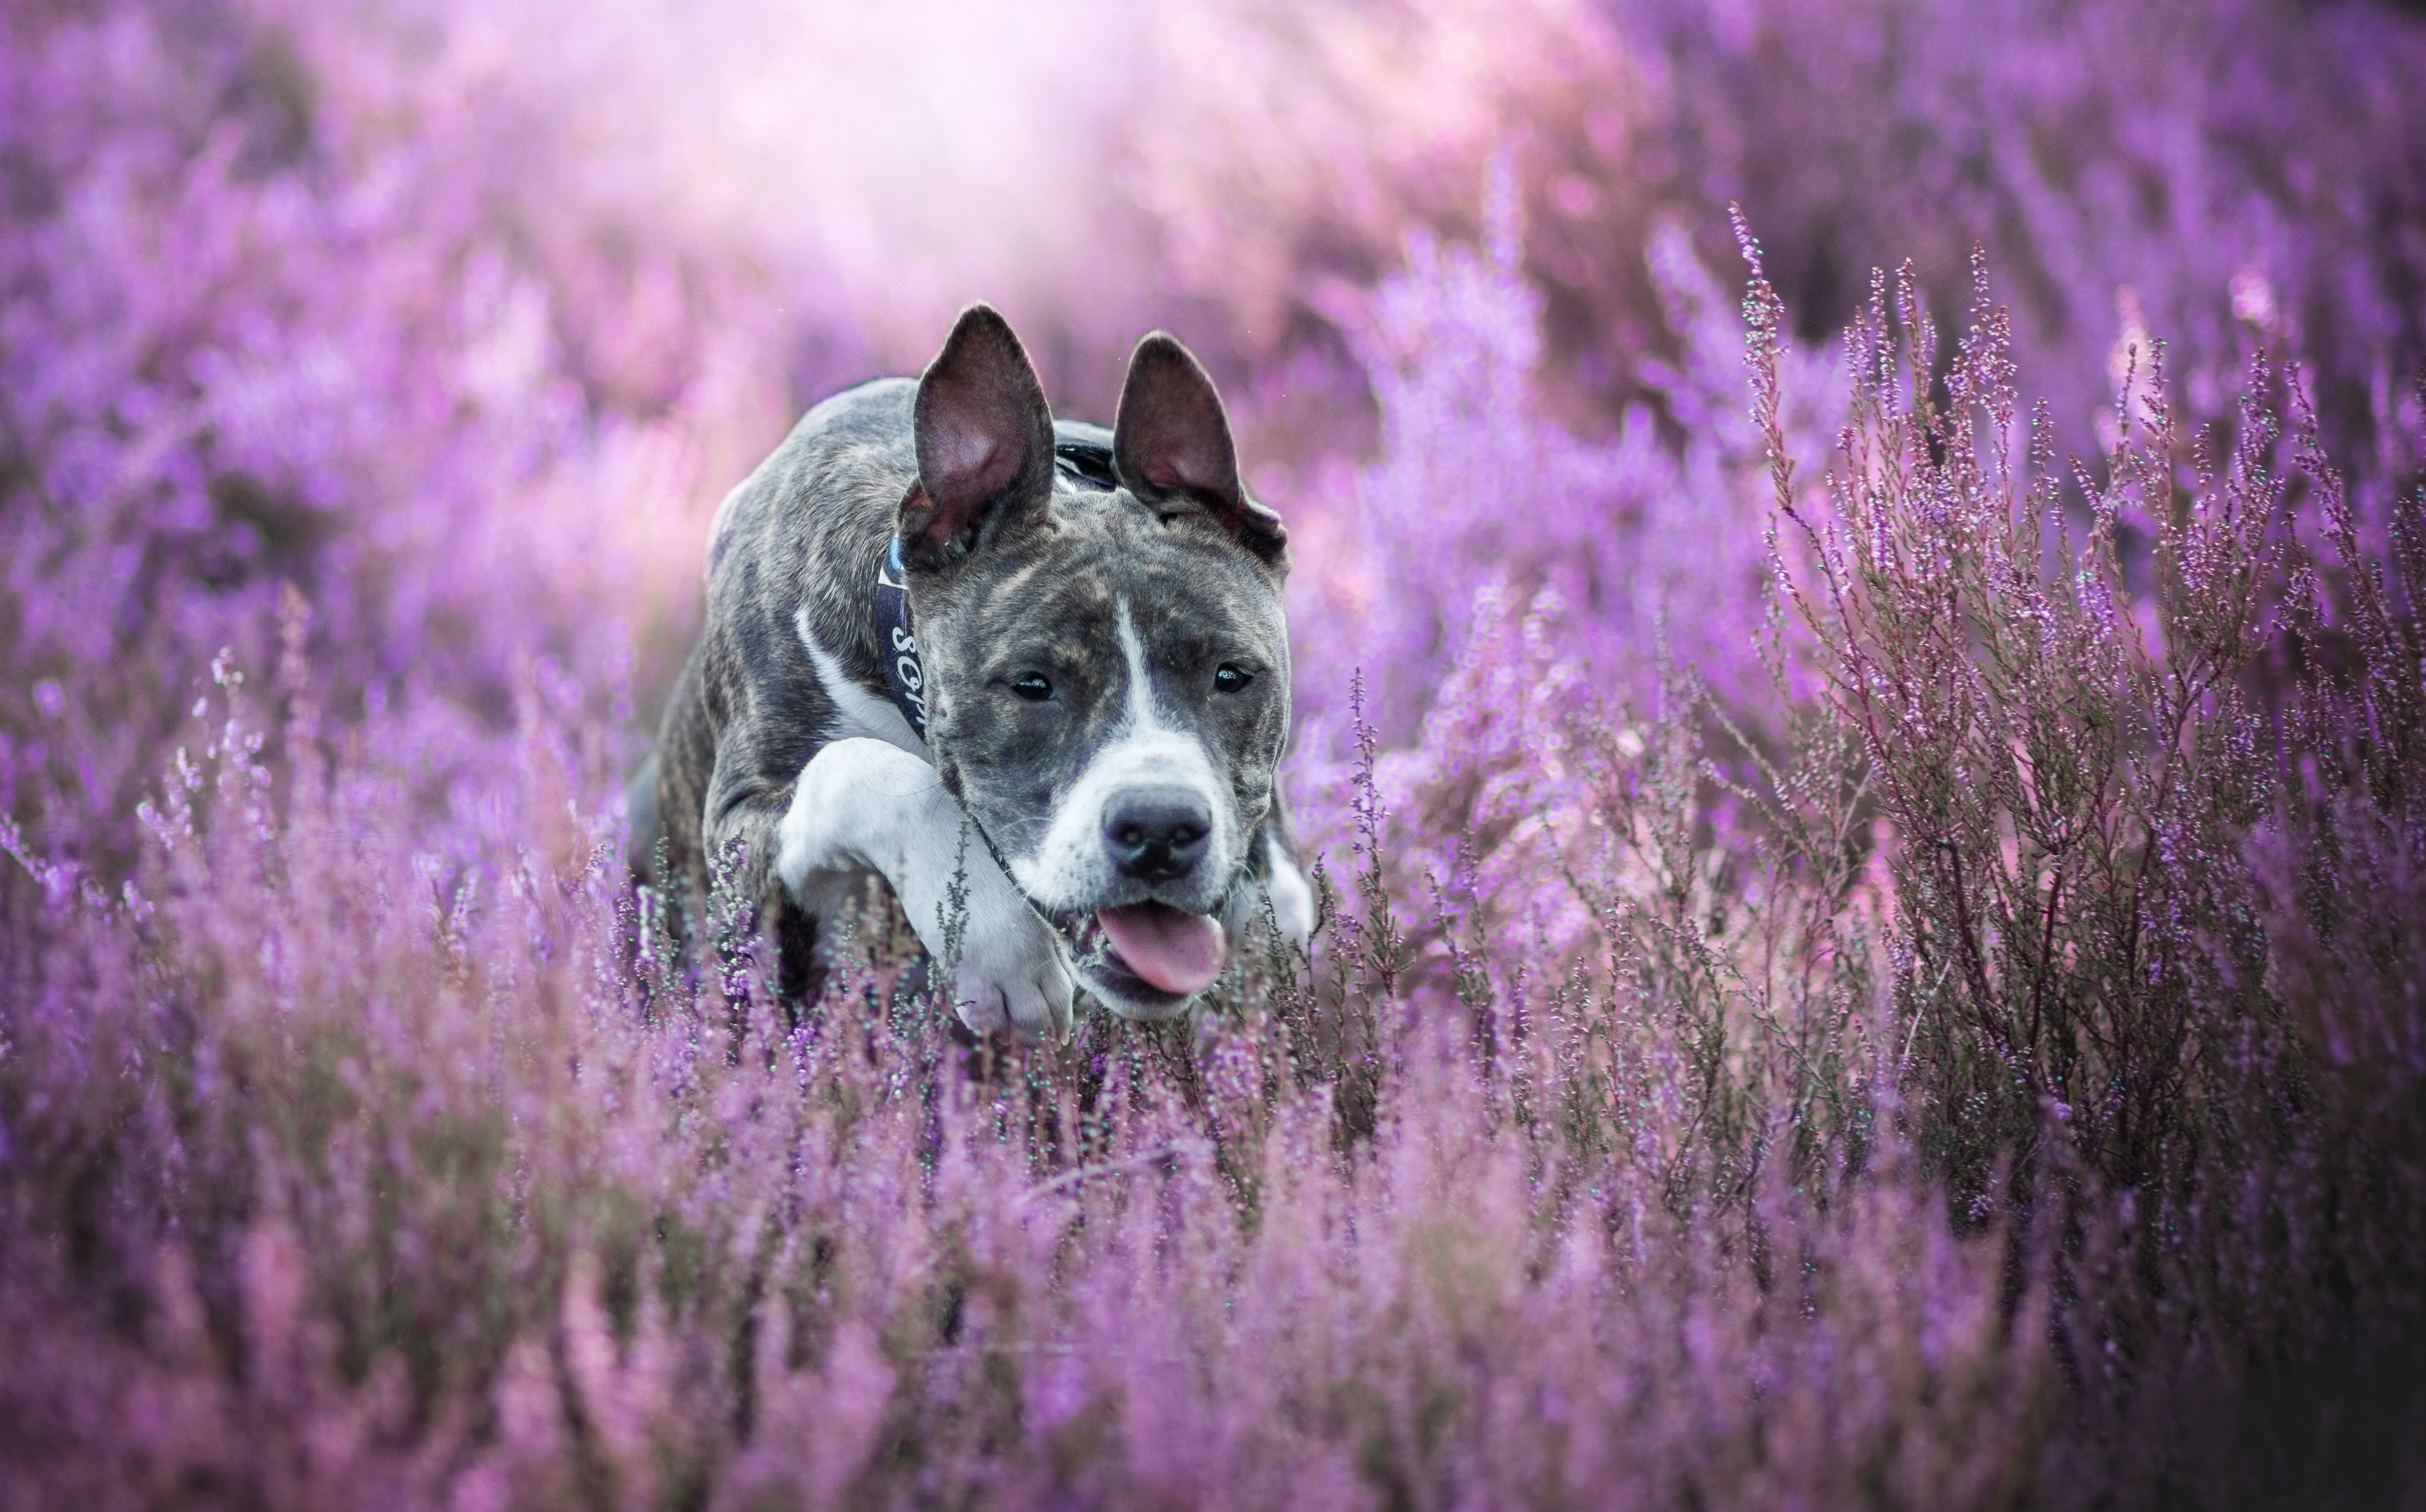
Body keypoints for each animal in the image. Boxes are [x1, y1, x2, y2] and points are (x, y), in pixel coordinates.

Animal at [625, 303, 1310, 1048]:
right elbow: (863, 767)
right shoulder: (736, 834)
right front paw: (1000, 949)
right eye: (1032, 684)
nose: (1160, 827)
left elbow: (1281, 905)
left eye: (1232, 675)